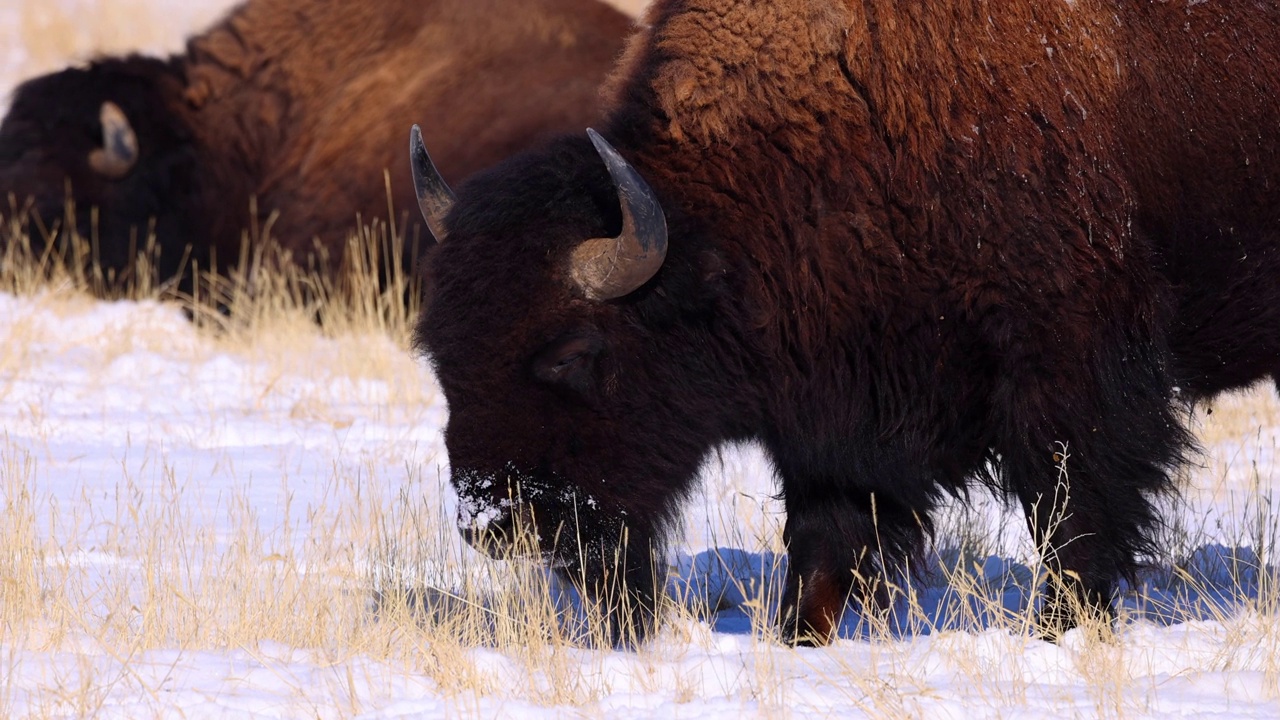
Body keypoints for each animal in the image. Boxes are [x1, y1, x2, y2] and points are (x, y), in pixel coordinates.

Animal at [407, 0, 1280, 640]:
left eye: (573, 352)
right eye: (441, 354)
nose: (493, 518)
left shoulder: (1069, 365)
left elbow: (1073, 512)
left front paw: (1062, 629)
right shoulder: (837, 408)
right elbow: (824, 538)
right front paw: (800, 634)